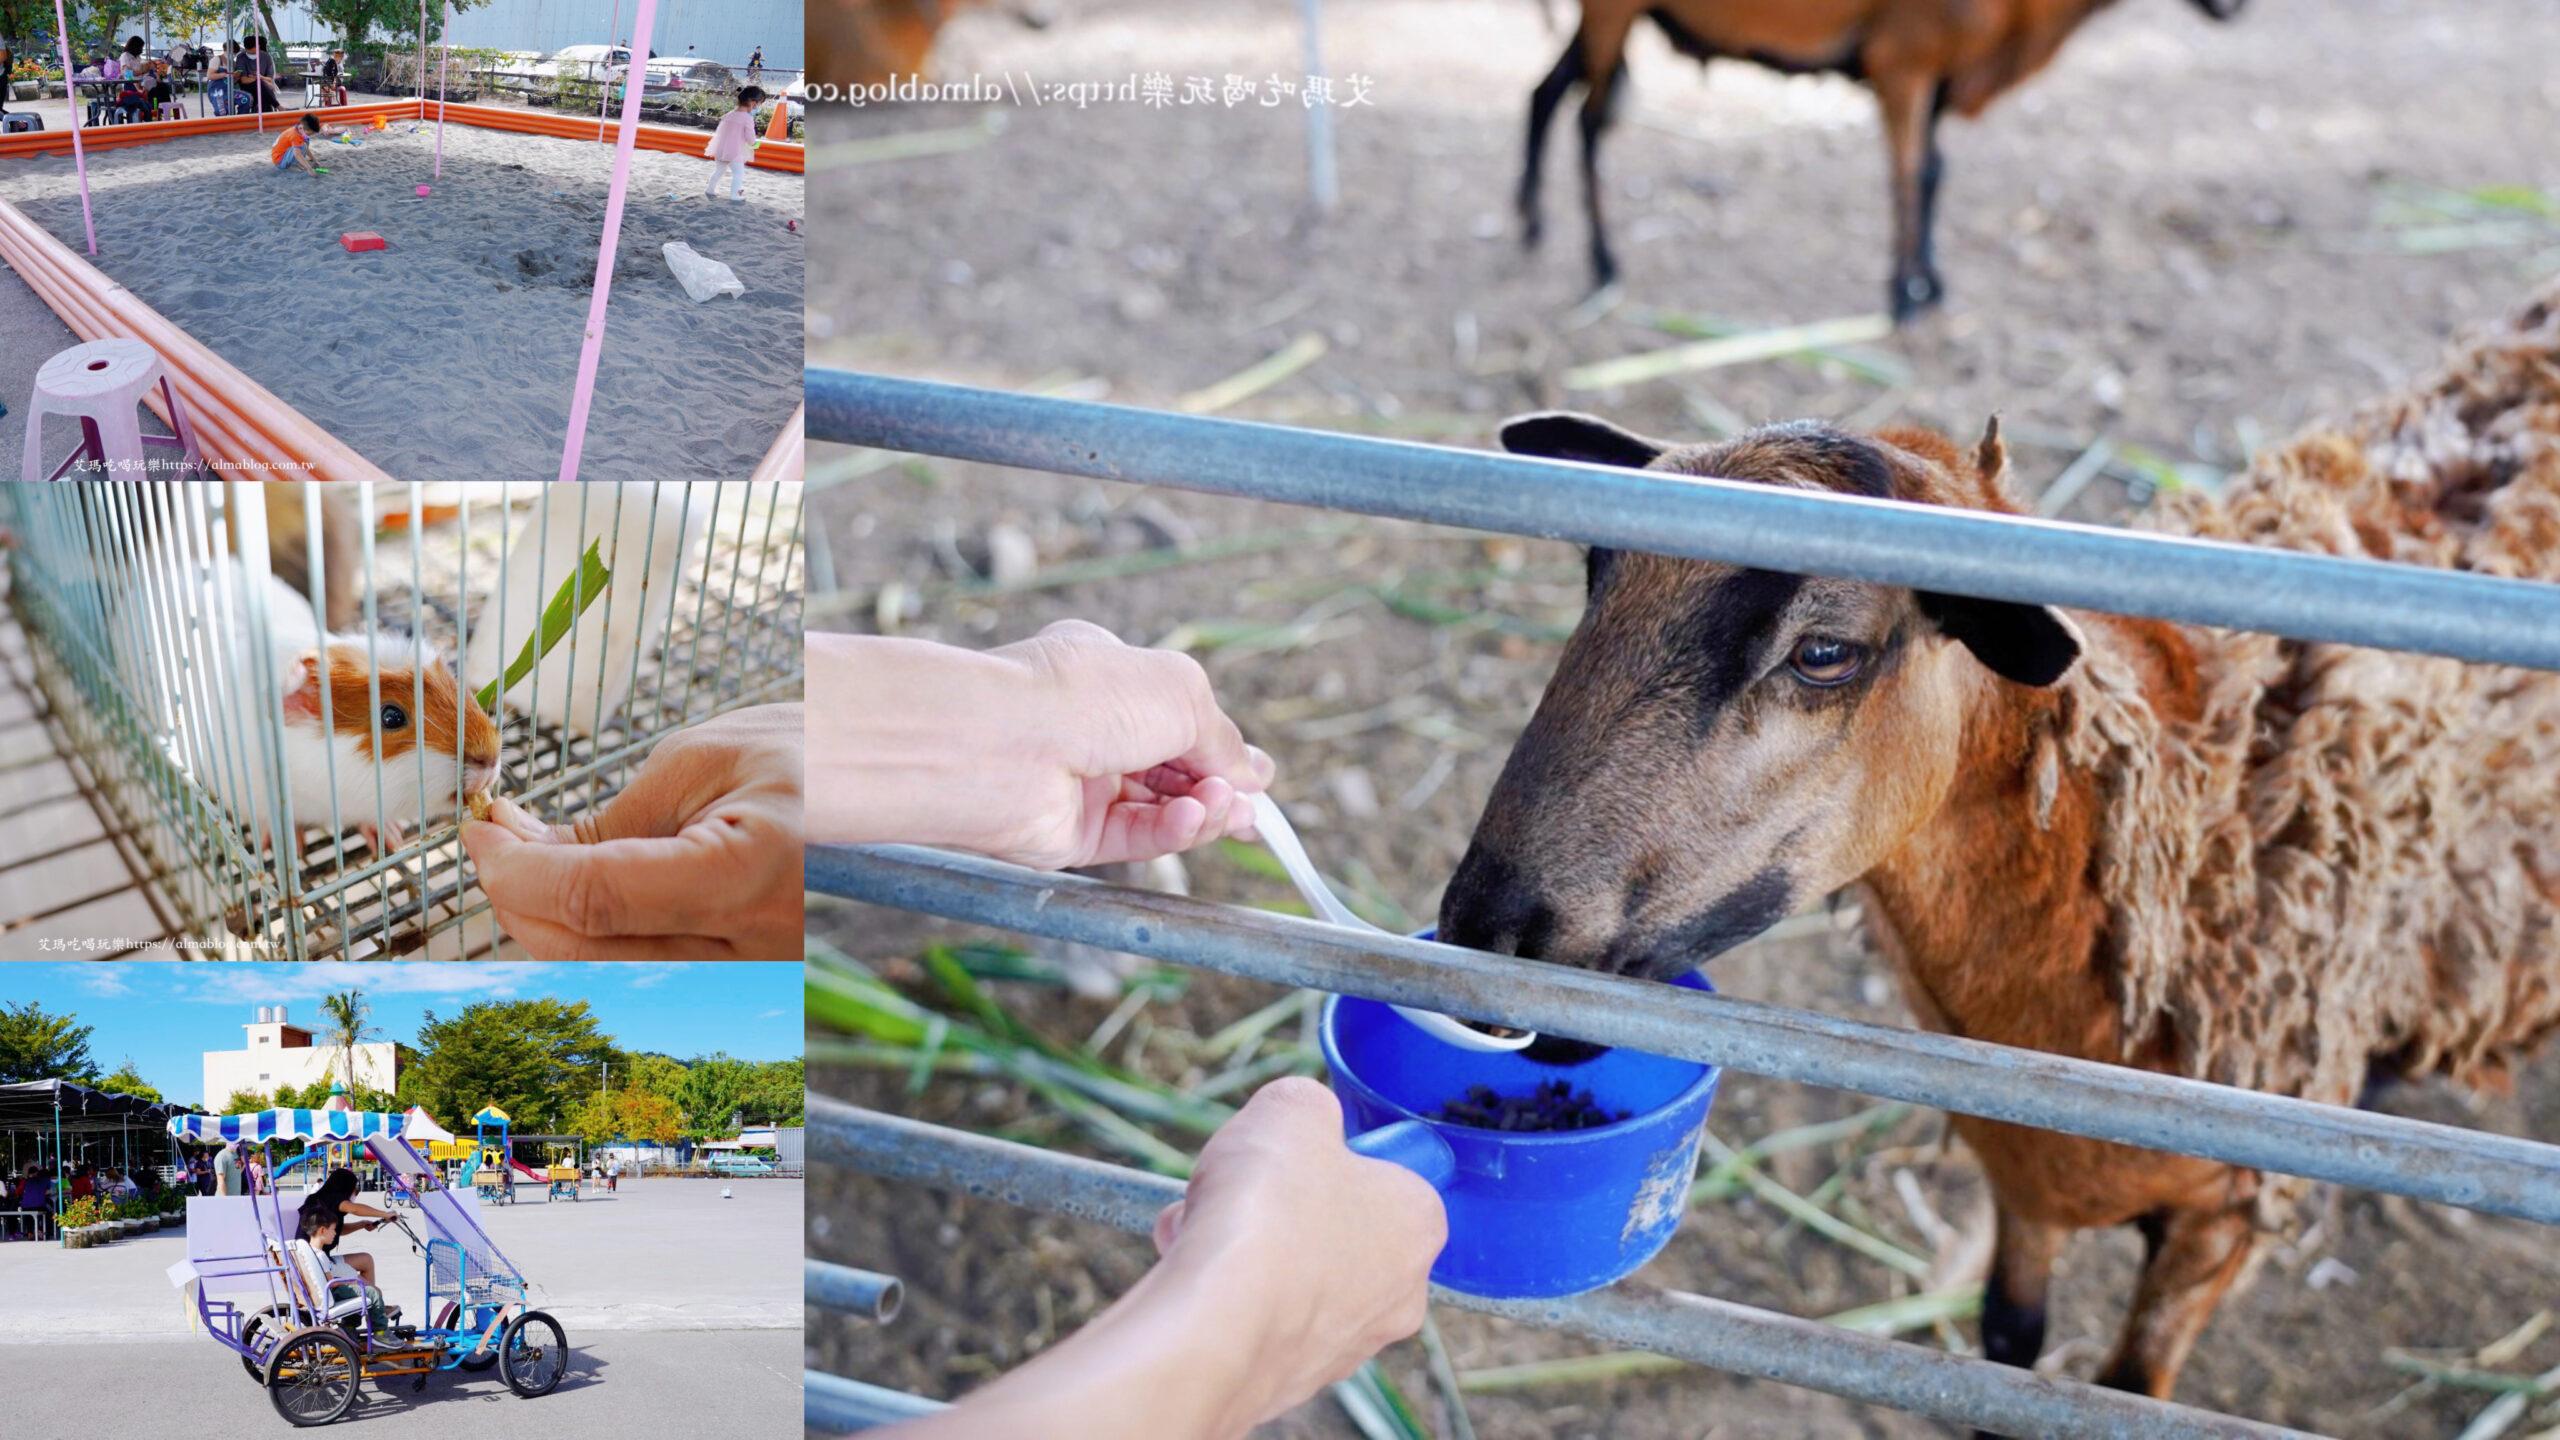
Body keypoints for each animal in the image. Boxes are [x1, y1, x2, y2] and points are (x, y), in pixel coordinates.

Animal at [1443, 285, 2560, 1404]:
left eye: (1823, 651)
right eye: (1595, 577)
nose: (1487, 931)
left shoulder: (2219, 1225)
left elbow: (2124, 1389)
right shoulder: (2015, 1170)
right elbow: (2010, 1342)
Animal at [1525, 0, 2252, 319]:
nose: (2236, 6)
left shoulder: (1937, 72)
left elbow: (1933, 173)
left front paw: (1930, 283)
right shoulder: (1902, 62)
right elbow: (1907, 175)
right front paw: (1904, 294)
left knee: (1546, 93)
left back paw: (1532, 222)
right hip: (1610, 10)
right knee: (1588, 122)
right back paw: (1603, 263)